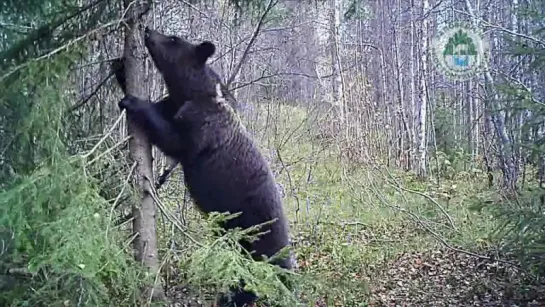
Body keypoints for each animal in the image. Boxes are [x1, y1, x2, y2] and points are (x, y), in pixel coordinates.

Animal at [117, 27, 296, 306]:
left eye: (173, 39)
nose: (148, 30)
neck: (191, 93)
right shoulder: (172, 104)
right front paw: (120, 66)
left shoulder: (202, 125)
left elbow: (174, 139)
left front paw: (133, 101)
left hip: (258, 229)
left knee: (259, 270)